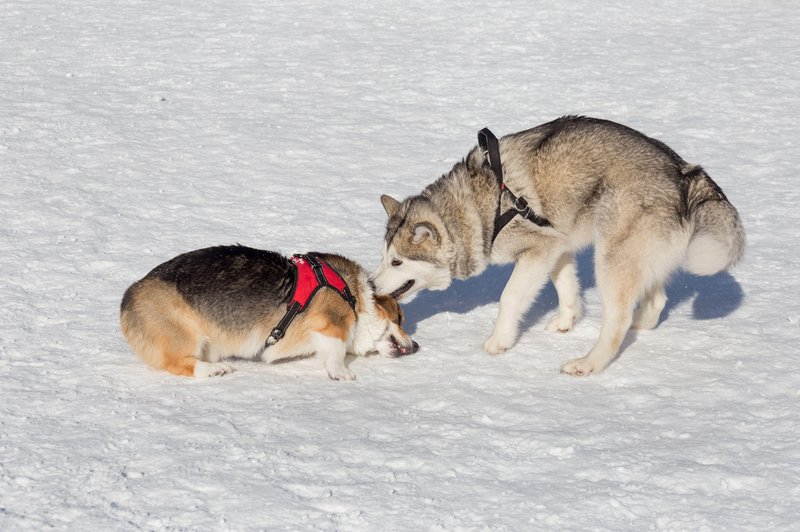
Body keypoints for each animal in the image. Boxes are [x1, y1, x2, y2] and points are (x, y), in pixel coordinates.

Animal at [122, 247, 418, 380]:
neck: (355, 295)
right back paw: (215, 369)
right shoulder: (332, 324)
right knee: (179, 364)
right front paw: (341, 372)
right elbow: (336, 352)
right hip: (186, 335)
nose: (416, 346)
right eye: (400, 319)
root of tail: (127, 300)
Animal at [374, 116, 744, 376]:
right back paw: (639, 327)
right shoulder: (556, 246)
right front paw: (566, 320)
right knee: (655, 301)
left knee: (618, 318)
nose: (372, 286)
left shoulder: (537, 250)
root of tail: (684, 172)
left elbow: (509, 298)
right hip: (640, 254)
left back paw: (588, 363)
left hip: (611, 257)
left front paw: (499, 342)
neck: (482, 207)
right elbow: (565, 286)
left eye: (397, 262)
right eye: (384, 258)